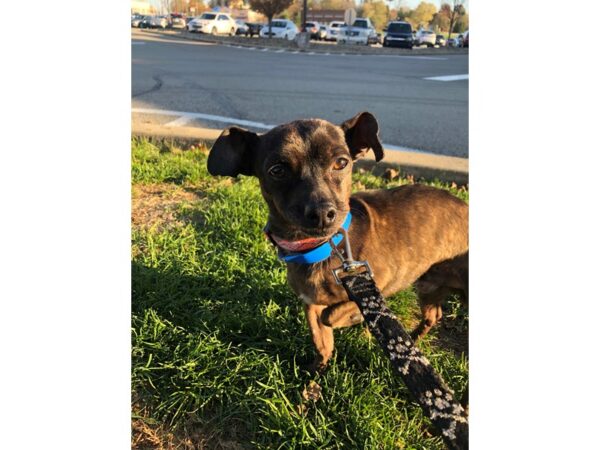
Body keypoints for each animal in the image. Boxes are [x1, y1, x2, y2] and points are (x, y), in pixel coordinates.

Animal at [207, 112, 468, 372]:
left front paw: (356, 318)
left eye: (341, 162)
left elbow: (331, 316)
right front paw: (315, 372)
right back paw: (411, 342)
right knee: (433, 316)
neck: (322, 247)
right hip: (428, 287)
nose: (322, 212)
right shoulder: (310, 303)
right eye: (277, 170)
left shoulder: (377, 286)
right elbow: (321, 340)